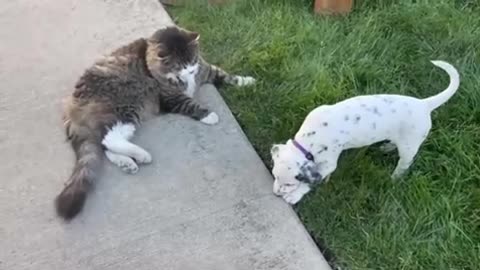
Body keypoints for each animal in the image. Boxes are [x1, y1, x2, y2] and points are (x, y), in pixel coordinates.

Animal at [55, 26, 255, 219]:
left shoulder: (205, 69)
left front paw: (247, 81)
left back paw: (128, 163)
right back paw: (142, 155)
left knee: (105, 145)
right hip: (125, 108)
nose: (190, 70)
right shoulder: (171, 97)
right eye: (179, 65)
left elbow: (226, 76)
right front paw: (209, 115)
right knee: (109, 139)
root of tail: (71, 105)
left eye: (192, 59)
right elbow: (190, 104)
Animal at [272, 60, 460, 205]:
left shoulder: (328, 161)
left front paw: (294, 196)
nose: (276, 194)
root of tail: (424, 104)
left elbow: (310, 182)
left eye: (289, 184)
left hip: (410, 145)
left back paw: (394, 178)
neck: (308, 140)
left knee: (404, 164)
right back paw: (387, 147)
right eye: (274, 176)